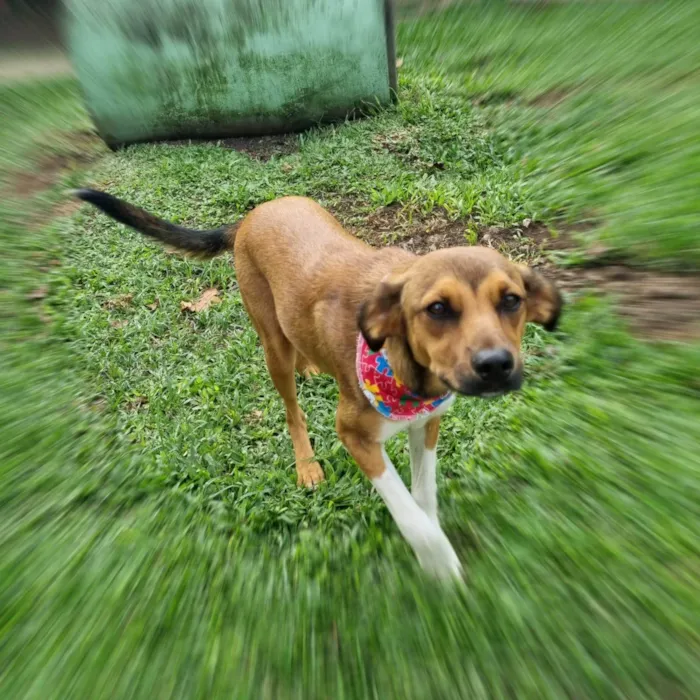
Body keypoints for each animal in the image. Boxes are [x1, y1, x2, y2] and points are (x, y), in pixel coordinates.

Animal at [74, 189, 560, 576]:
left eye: (511, 300)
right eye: (437, 309)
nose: (496, 366)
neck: (407, 374)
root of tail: (252, 215)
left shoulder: (427, 425)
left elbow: (425, 498)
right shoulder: (355, 435)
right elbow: (409, 515)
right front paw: (439, 563)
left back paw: (312, 365)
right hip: (272, 346)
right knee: (292, 411)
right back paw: (305, 463)